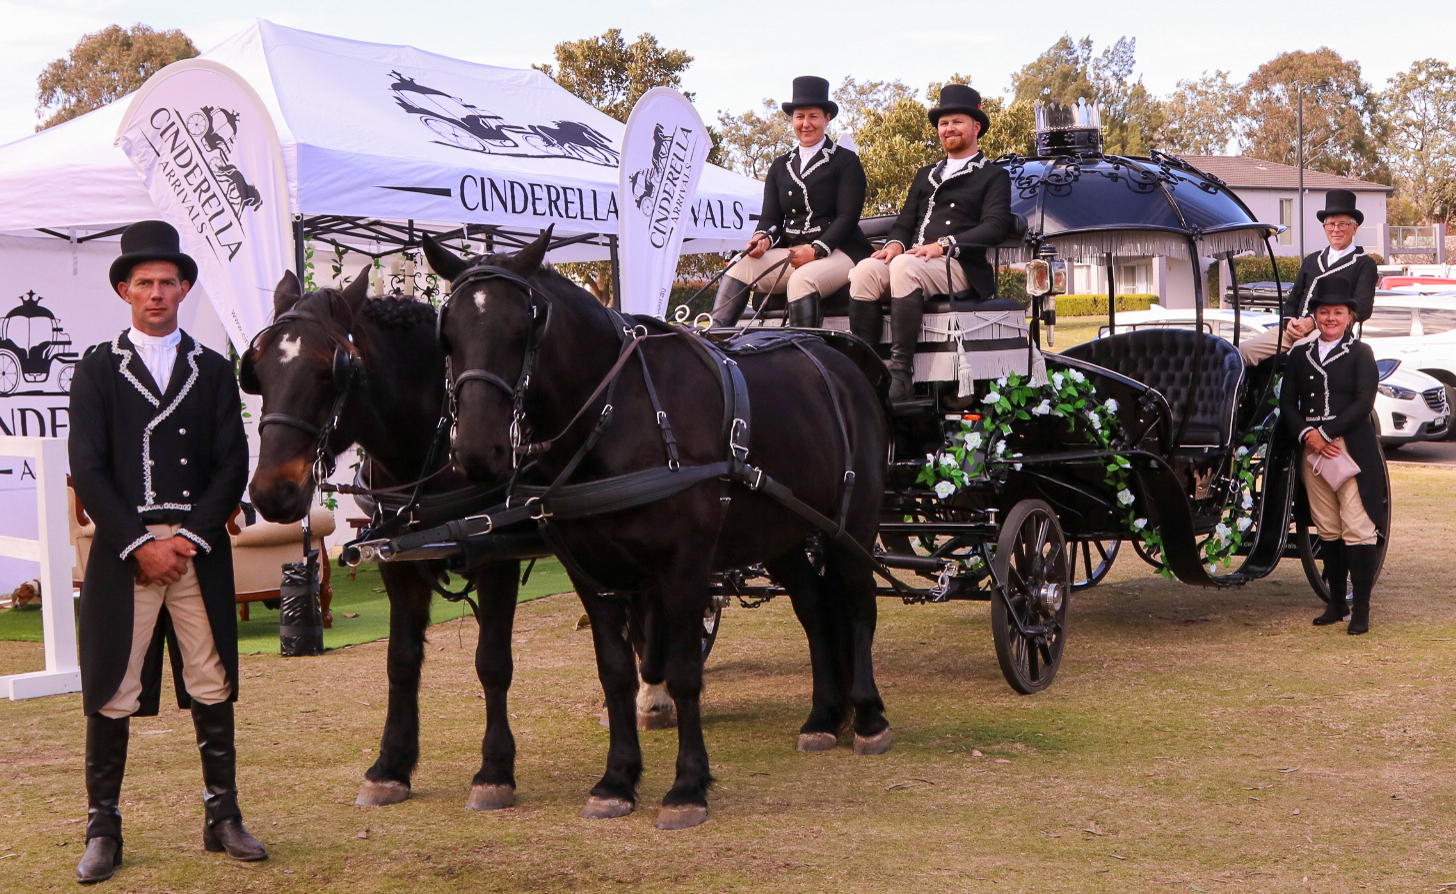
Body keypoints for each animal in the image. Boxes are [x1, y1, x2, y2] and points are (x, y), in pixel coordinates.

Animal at [243, 269, 524, 815]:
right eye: (257, 370)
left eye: (331, 372)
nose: (271, 491)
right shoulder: (399, 566)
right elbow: (401, 661)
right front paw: (390, 766)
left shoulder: (498, 559)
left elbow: (492, 662)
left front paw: (495, 770)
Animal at [425, 231, 891, 832]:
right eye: (448, 334)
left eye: (524, 327)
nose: (478, 452)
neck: (618, 413)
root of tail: (842, 362)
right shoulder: (591, 573)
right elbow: (616, 672)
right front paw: (617, 780)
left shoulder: (683, 566)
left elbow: (685, 670)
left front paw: (688, 786)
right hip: (783, 532)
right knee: (813, 607)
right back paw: (823, 716)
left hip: (850, 523)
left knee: (857, 604)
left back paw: (869, 716)